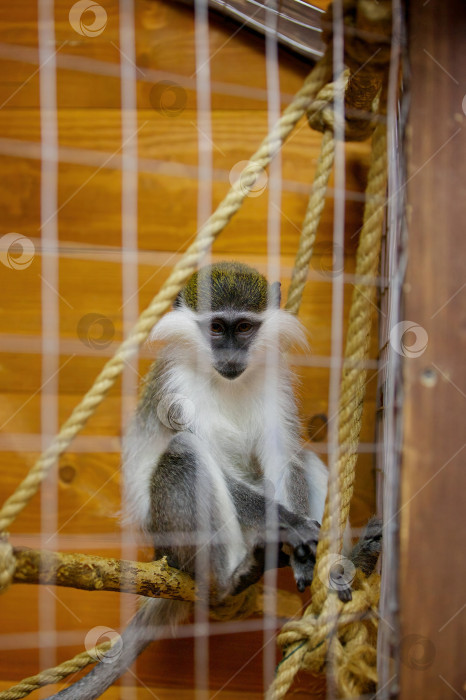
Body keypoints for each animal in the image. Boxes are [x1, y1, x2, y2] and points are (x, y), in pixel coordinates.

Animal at [48, 264, 382, 700]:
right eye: (217, 328)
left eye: (244, 327)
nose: (230, 356)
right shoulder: (177, 390)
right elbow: (210, 459)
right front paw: (292, 526)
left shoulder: (273, 384)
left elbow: (285, 457)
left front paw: (310, 555)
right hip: (173, 538)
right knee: (185, 451)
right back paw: (233, 579)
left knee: (305, 460)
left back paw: (348, 562)